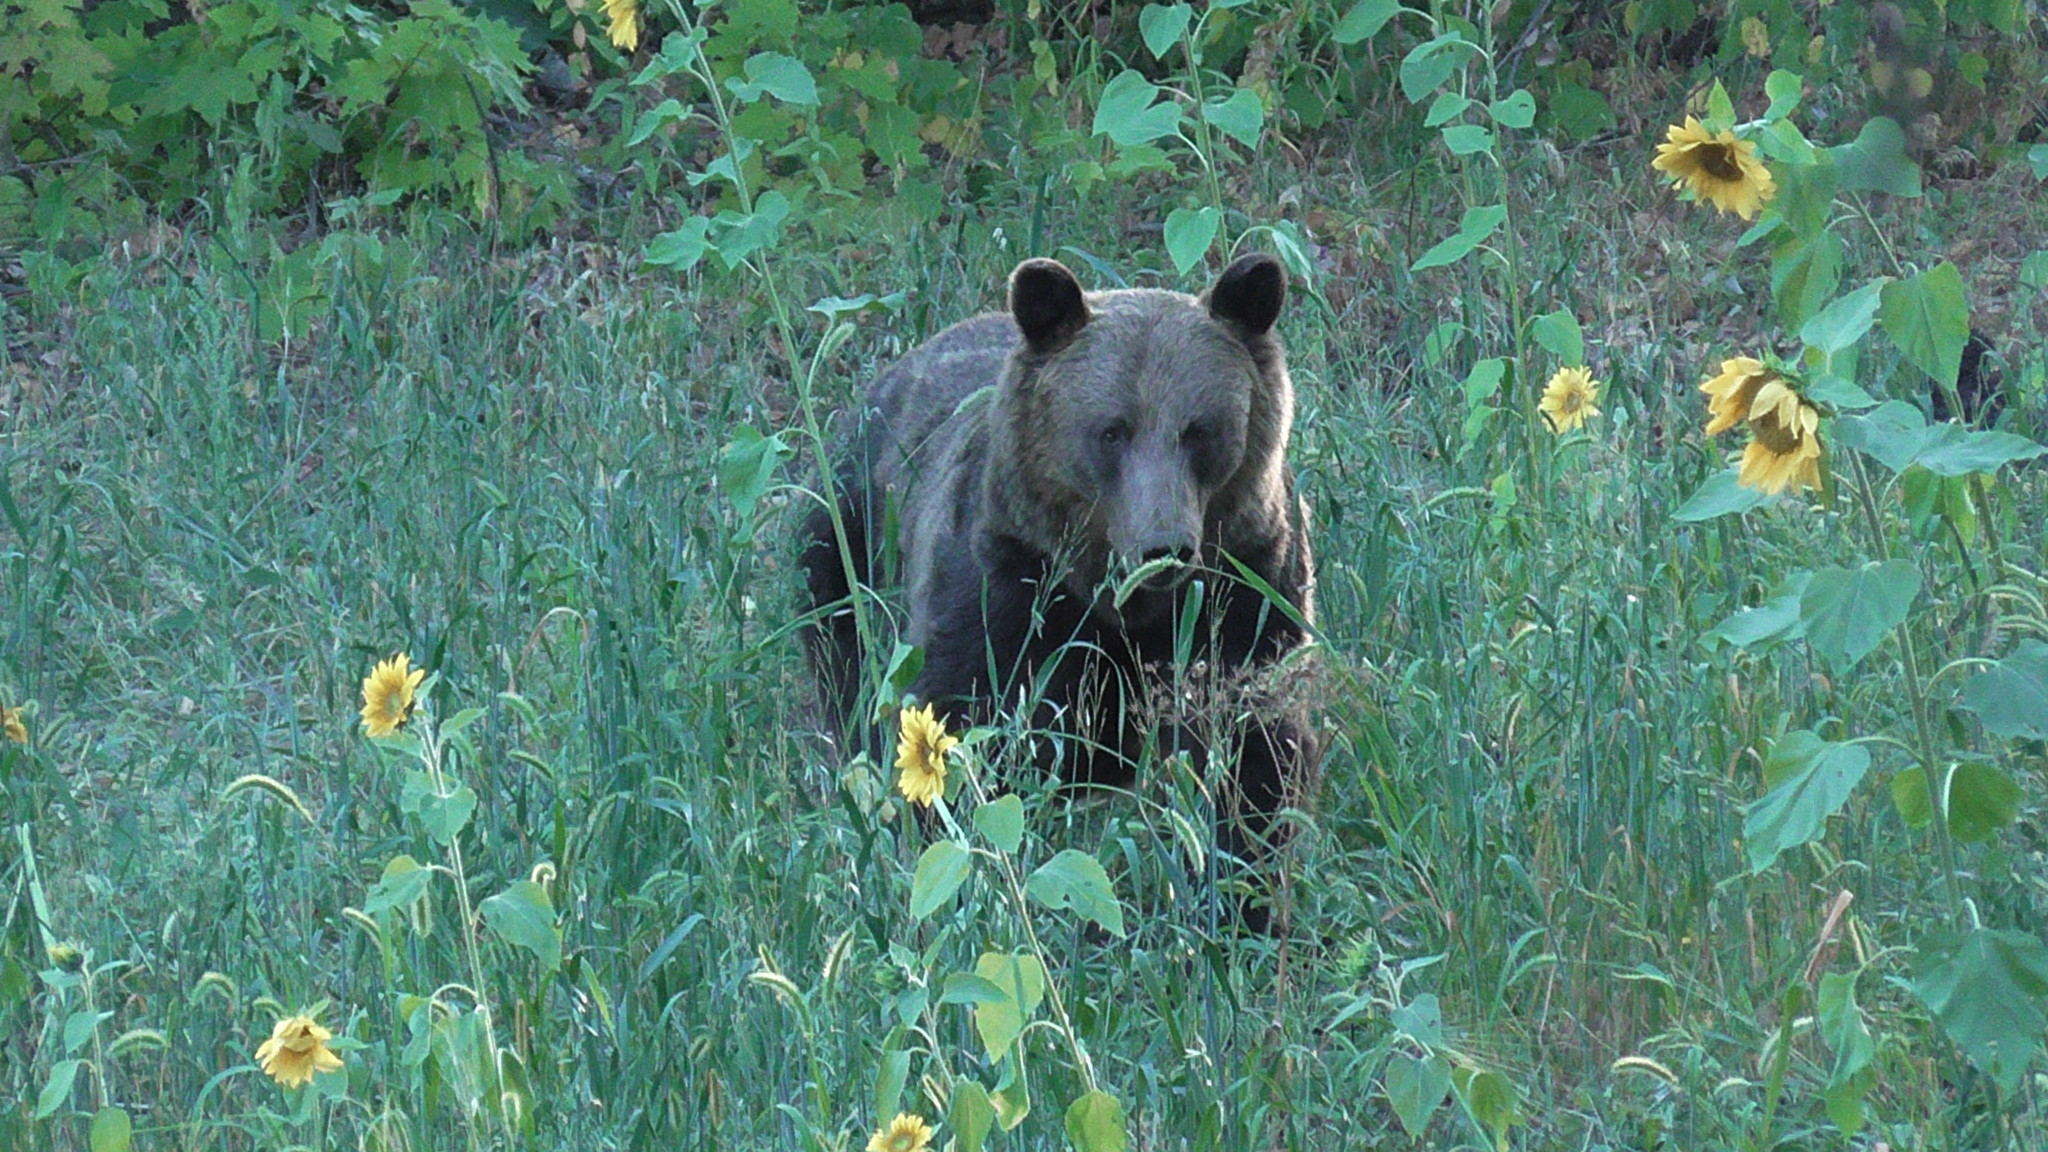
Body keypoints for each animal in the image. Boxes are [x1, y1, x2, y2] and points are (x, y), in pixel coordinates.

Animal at [798, 251, 1310, 860]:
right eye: (1112, 430)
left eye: (1200, 430)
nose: (1164, 547)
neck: (1118, 604)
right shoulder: (1005, 586)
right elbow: (955, 714)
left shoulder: (1249, 586)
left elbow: (1253, 749)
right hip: (843, 536)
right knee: (843, 665)